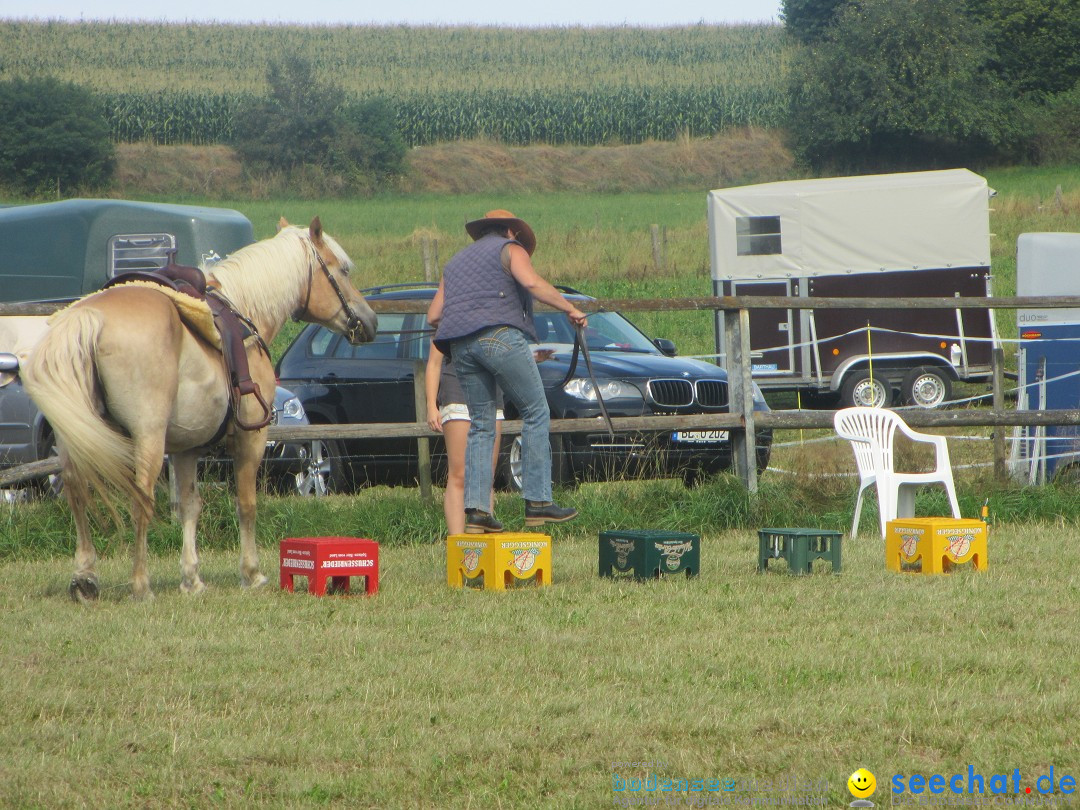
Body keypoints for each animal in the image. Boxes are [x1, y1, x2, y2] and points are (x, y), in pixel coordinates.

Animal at [22, 219, 375, 600]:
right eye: (343, 270)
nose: (370, 321)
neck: (244, 314)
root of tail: (90, 317)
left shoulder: (186, 449)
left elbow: (189, 505)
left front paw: (191, 578)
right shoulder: (251, 439)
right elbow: (246, 503)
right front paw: (251, 573)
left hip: (75, 441)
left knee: (77, 492)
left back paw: (84, 578)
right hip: (147, 438)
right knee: (140, 499)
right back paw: (140, 585)